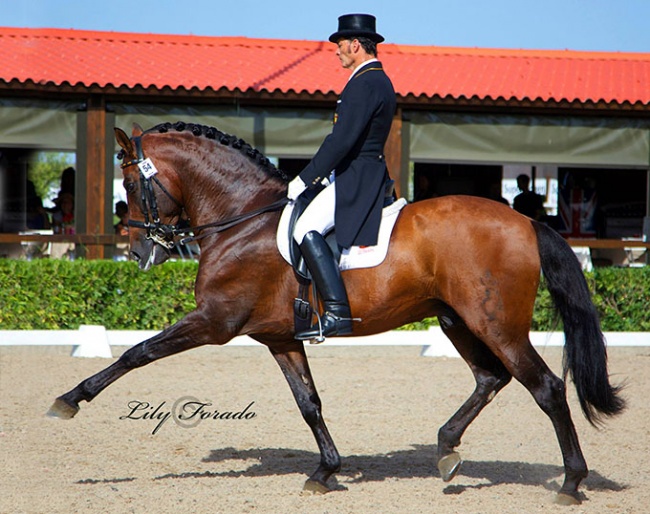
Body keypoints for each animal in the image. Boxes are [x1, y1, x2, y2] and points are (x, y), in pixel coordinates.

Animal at [48, 121, 624, 504]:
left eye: (129, 185)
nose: (140, 255)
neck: (241, 219)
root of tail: (525, 222)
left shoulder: (213, 322)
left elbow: (137, 353)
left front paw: (69, 400)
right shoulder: (281, 338)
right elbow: (310, 403)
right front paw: (326, 471)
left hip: (496, 324)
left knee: (545, 387)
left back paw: (571, 482)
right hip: (456, 319)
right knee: (490, 378)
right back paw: (445, 449)